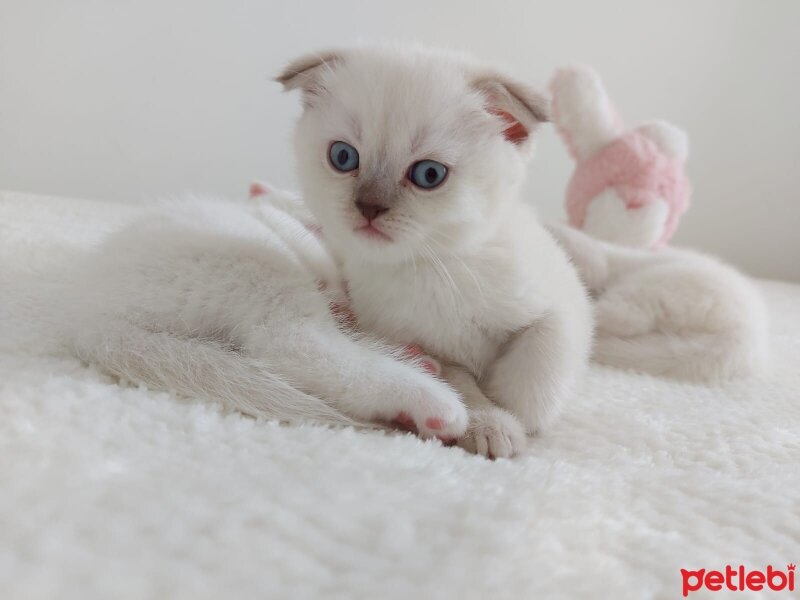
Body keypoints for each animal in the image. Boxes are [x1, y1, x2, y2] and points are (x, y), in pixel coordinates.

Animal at [278, 45, 592, 460]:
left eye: (429, 174)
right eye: (343, 157)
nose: (369, 207)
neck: (433, 266)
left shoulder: (562, 299)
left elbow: (543, 360)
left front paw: (514, 410)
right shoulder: (422, 346)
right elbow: (460, 385)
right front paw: (490, 423)